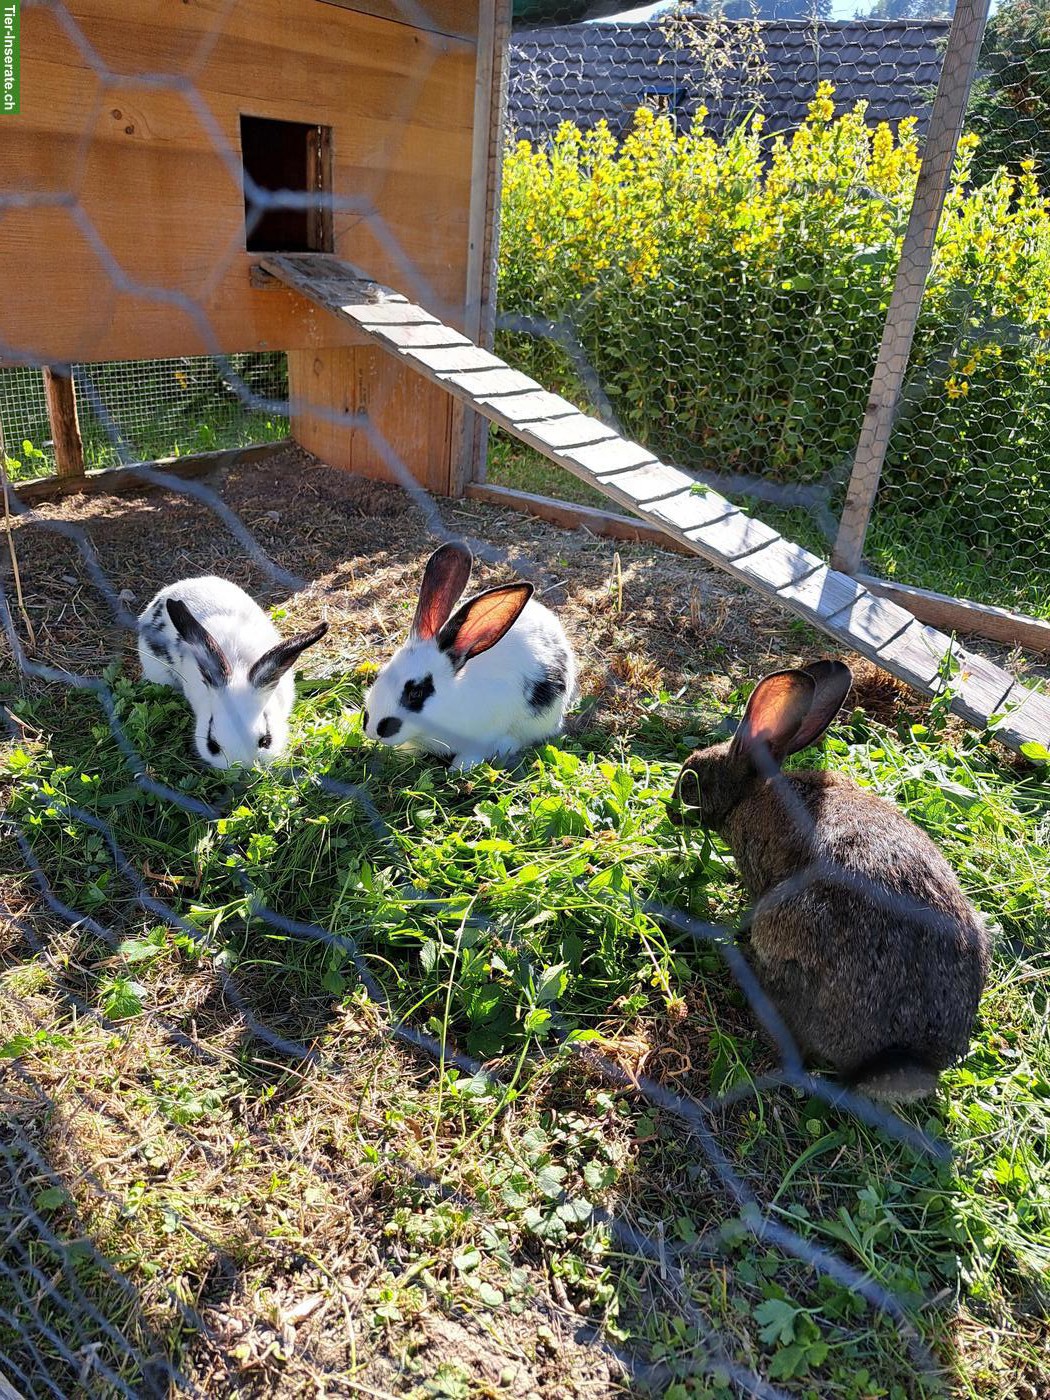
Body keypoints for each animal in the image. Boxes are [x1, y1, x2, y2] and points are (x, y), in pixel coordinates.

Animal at [362, 542, 576, 771]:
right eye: (380, 674)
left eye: (416, 693)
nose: (373, 729)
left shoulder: (485, 735)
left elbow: (473, 754)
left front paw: (459, 769)